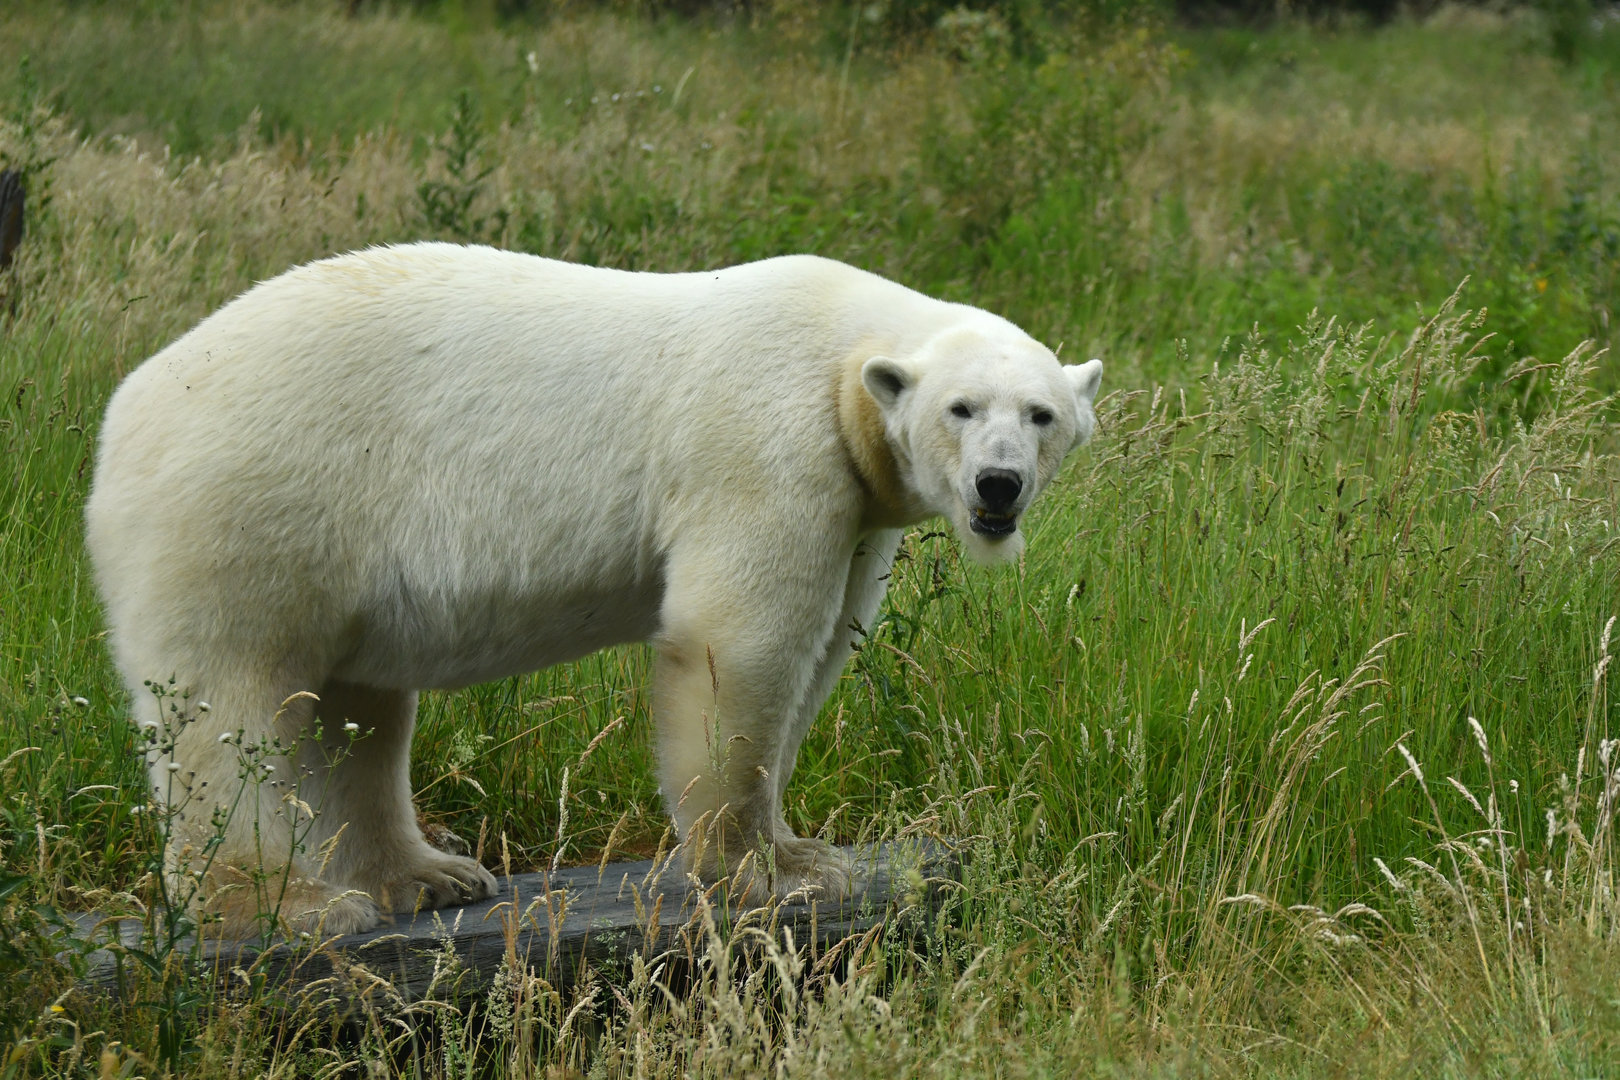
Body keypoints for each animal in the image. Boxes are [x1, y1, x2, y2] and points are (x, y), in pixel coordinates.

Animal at [85, 244, 1103, 937]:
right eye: (960, 409)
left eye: (1042, 414)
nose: (998, 487)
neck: (837, 352)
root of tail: (123, 415)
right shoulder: (769, 446)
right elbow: (740, 642)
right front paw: (765, 873)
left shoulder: (857, 502)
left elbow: (819, 655)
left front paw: (804, 850)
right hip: (258, 503)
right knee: (230, 707)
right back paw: (289, 902)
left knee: (354, 714)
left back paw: (429, 875)